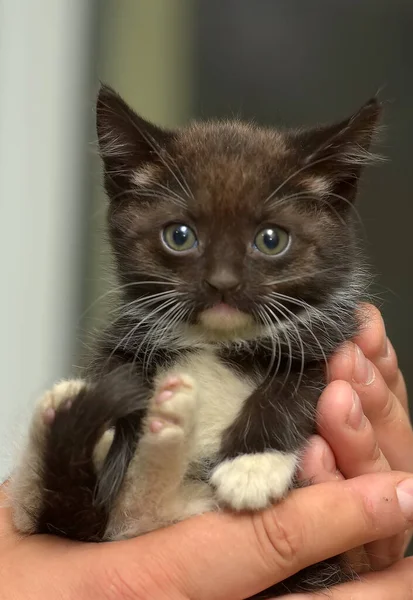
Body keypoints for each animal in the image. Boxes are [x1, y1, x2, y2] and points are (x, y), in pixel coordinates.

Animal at [11, 86, 382, 596]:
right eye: (180, 235)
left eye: (271, 239)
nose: (222, 283)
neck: (216, 341)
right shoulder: (124, 335)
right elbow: (112, 370)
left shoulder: (338, 338)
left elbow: (302, 382)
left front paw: (252, 465)